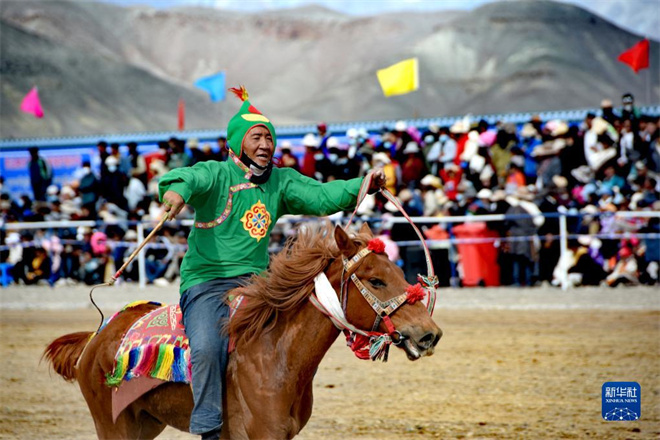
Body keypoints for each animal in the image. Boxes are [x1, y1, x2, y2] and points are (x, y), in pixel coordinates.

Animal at [43, 225, 440, 438]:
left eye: (399, 271)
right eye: (376, 279)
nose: (429, 333)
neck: (275, 355)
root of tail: (97, 337)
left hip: (146, 424)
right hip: (114, 426)